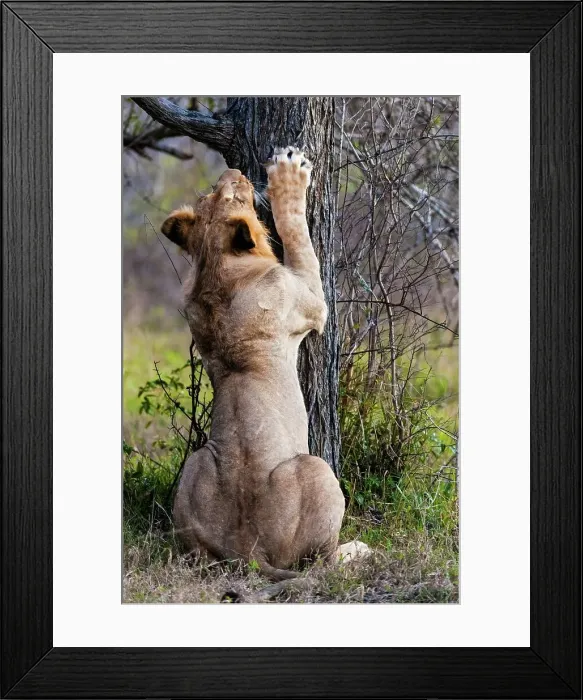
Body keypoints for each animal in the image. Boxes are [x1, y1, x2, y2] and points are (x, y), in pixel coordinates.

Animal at [161, 146, 368, 592]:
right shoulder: (308, 299)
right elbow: (296, 234)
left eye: (213, 194)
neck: (214, 269)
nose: (234, 170)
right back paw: (358, 551)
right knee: (322, 563)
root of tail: (248, 553)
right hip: (317, 469)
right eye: (235, 196)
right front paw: (289, 177)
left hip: (196, 465)